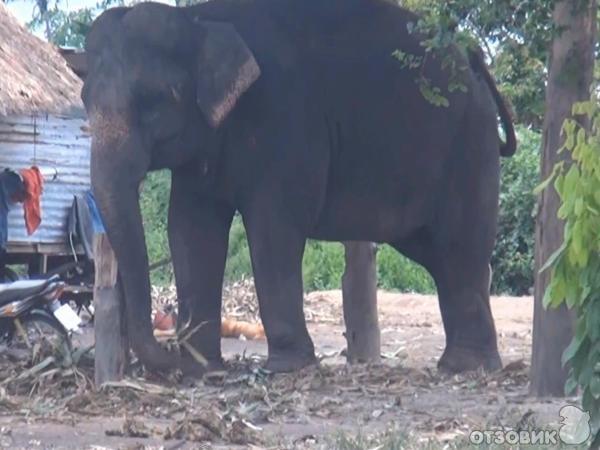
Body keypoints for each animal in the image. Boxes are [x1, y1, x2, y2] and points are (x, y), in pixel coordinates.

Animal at [83, 0, 516, 376]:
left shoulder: (283, 119)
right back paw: (467, 364)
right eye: (85, 99)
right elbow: (190, 230)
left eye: (153, 100)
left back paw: (466, 367)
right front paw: (202, 366)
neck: (199, 18)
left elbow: (273, 227)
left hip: (469, 144)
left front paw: (285, 368)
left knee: (458, 248)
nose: (174, 354)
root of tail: (475, 58)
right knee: (440, 255)